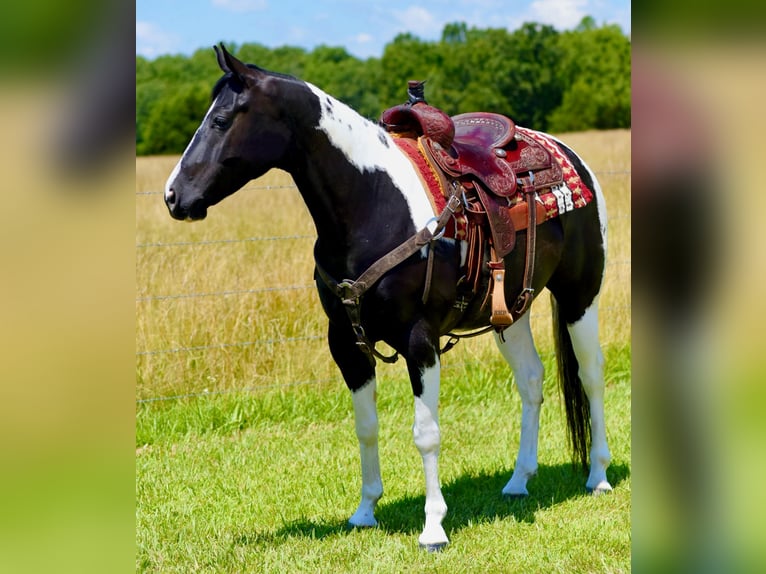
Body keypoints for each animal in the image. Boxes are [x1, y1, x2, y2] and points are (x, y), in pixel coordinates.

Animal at [164, 44, 612, 551]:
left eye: (221, 120)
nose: (174, 196)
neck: (371, 202)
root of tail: (569, 156)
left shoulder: (420, 341)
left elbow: (426, 433)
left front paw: (433, 527)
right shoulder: (345, 343)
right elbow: (366, 427)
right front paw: (365, 511)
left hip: (580, 296)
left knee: (592, 375)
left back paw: (598, 476)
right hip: (512, 311)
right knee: (532, 381)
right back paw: (519, 480)